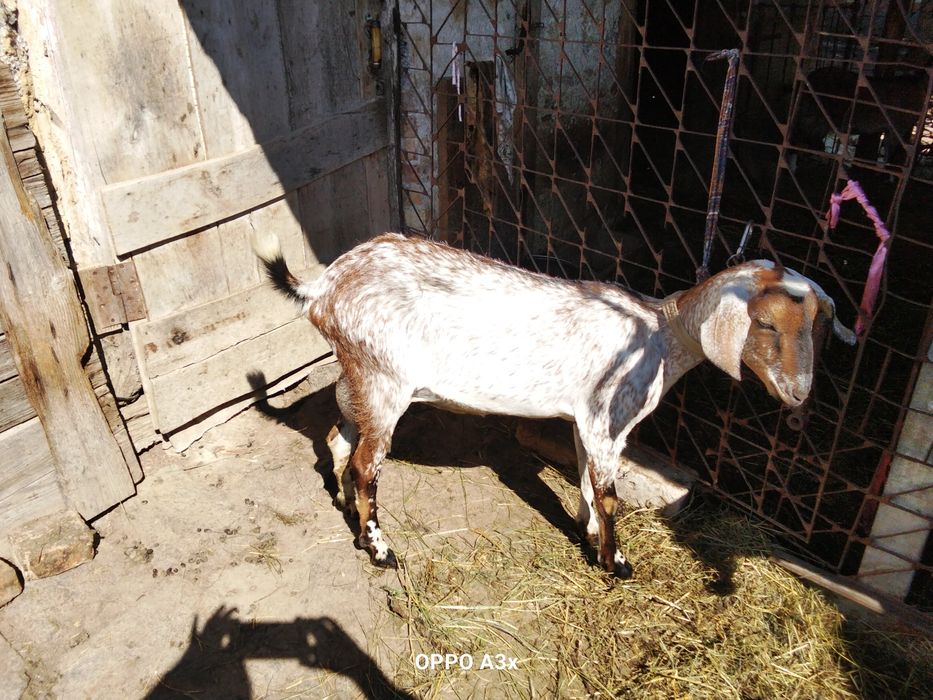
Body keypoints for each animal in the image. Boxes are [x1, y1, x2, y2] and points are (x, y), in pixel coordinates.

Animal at [252, 231, 855, 578]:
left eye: (820, 327)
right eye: (766, 324)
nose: (799, 393)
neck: (660, 333)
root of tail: (324, 287)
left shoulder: (584, 421)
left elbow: (587, 483)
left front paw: (588, 537)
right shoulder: (610, 420)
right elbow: (609, 495)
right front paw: (617, 563)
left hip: (360, 375)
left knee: (338, 438)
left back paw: (344, 507)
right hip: (384, 381)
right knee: (366, 466)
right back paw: (378, 548)